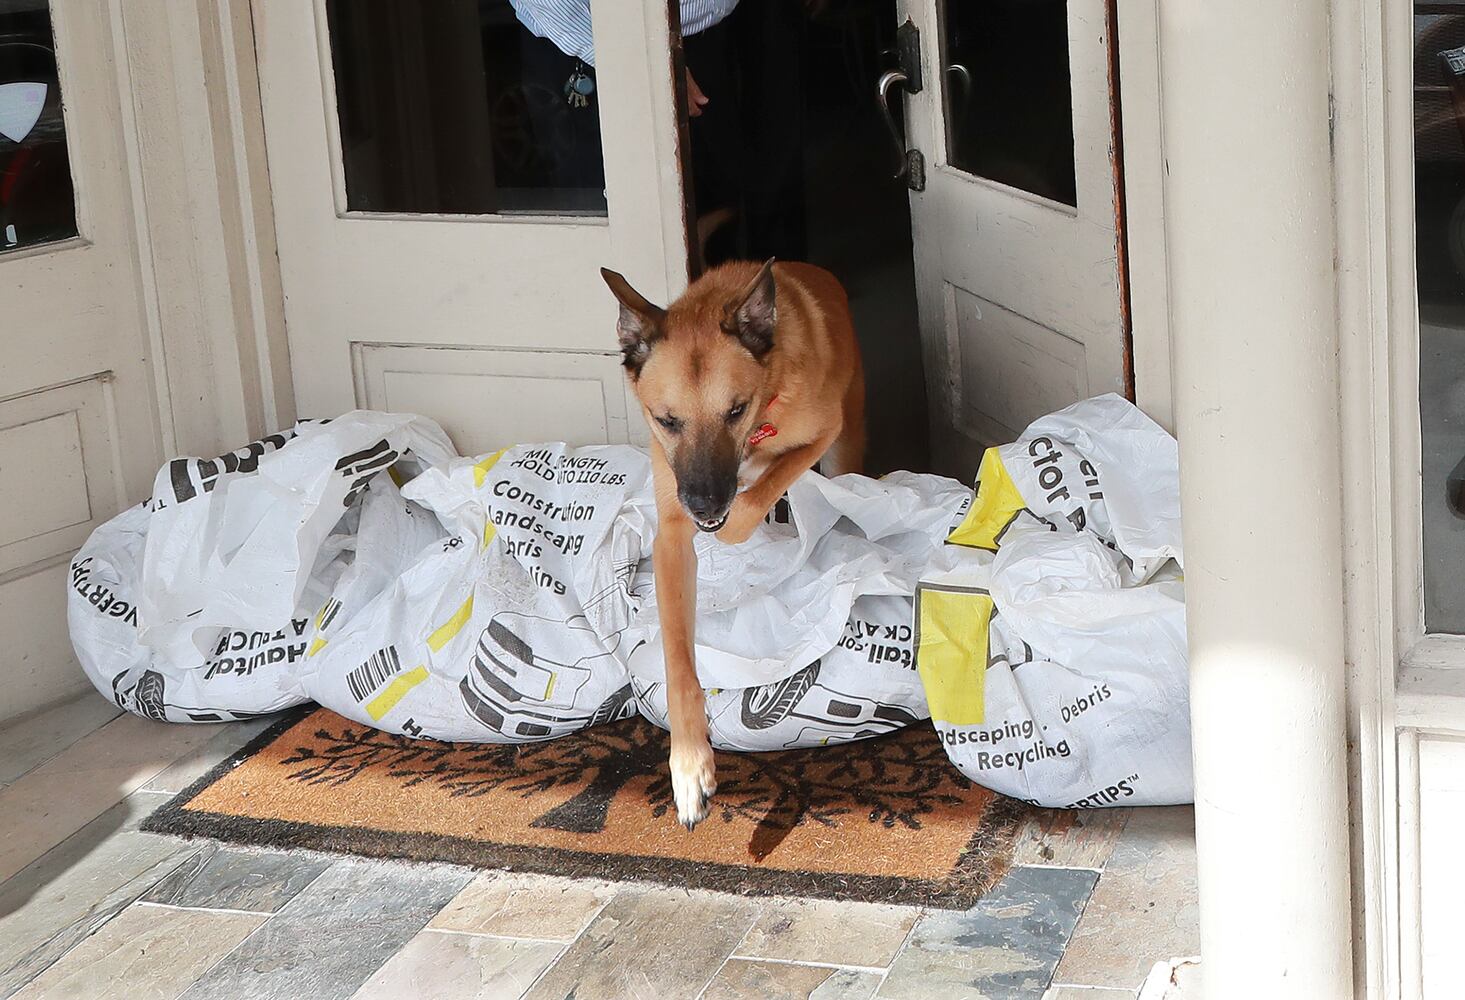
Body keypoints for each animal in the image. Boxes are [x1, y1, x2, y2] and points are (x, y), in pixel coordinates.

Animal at [600, 260, 861, 831]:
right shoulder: (672, 535)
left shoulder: (822, 431)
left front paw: (745, 514)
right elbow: (678, 663)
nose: (702, 503)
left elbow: (753, 500)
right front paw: (688, 766)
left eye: (736, 411)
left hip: (846, 442)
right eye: (667, 420)